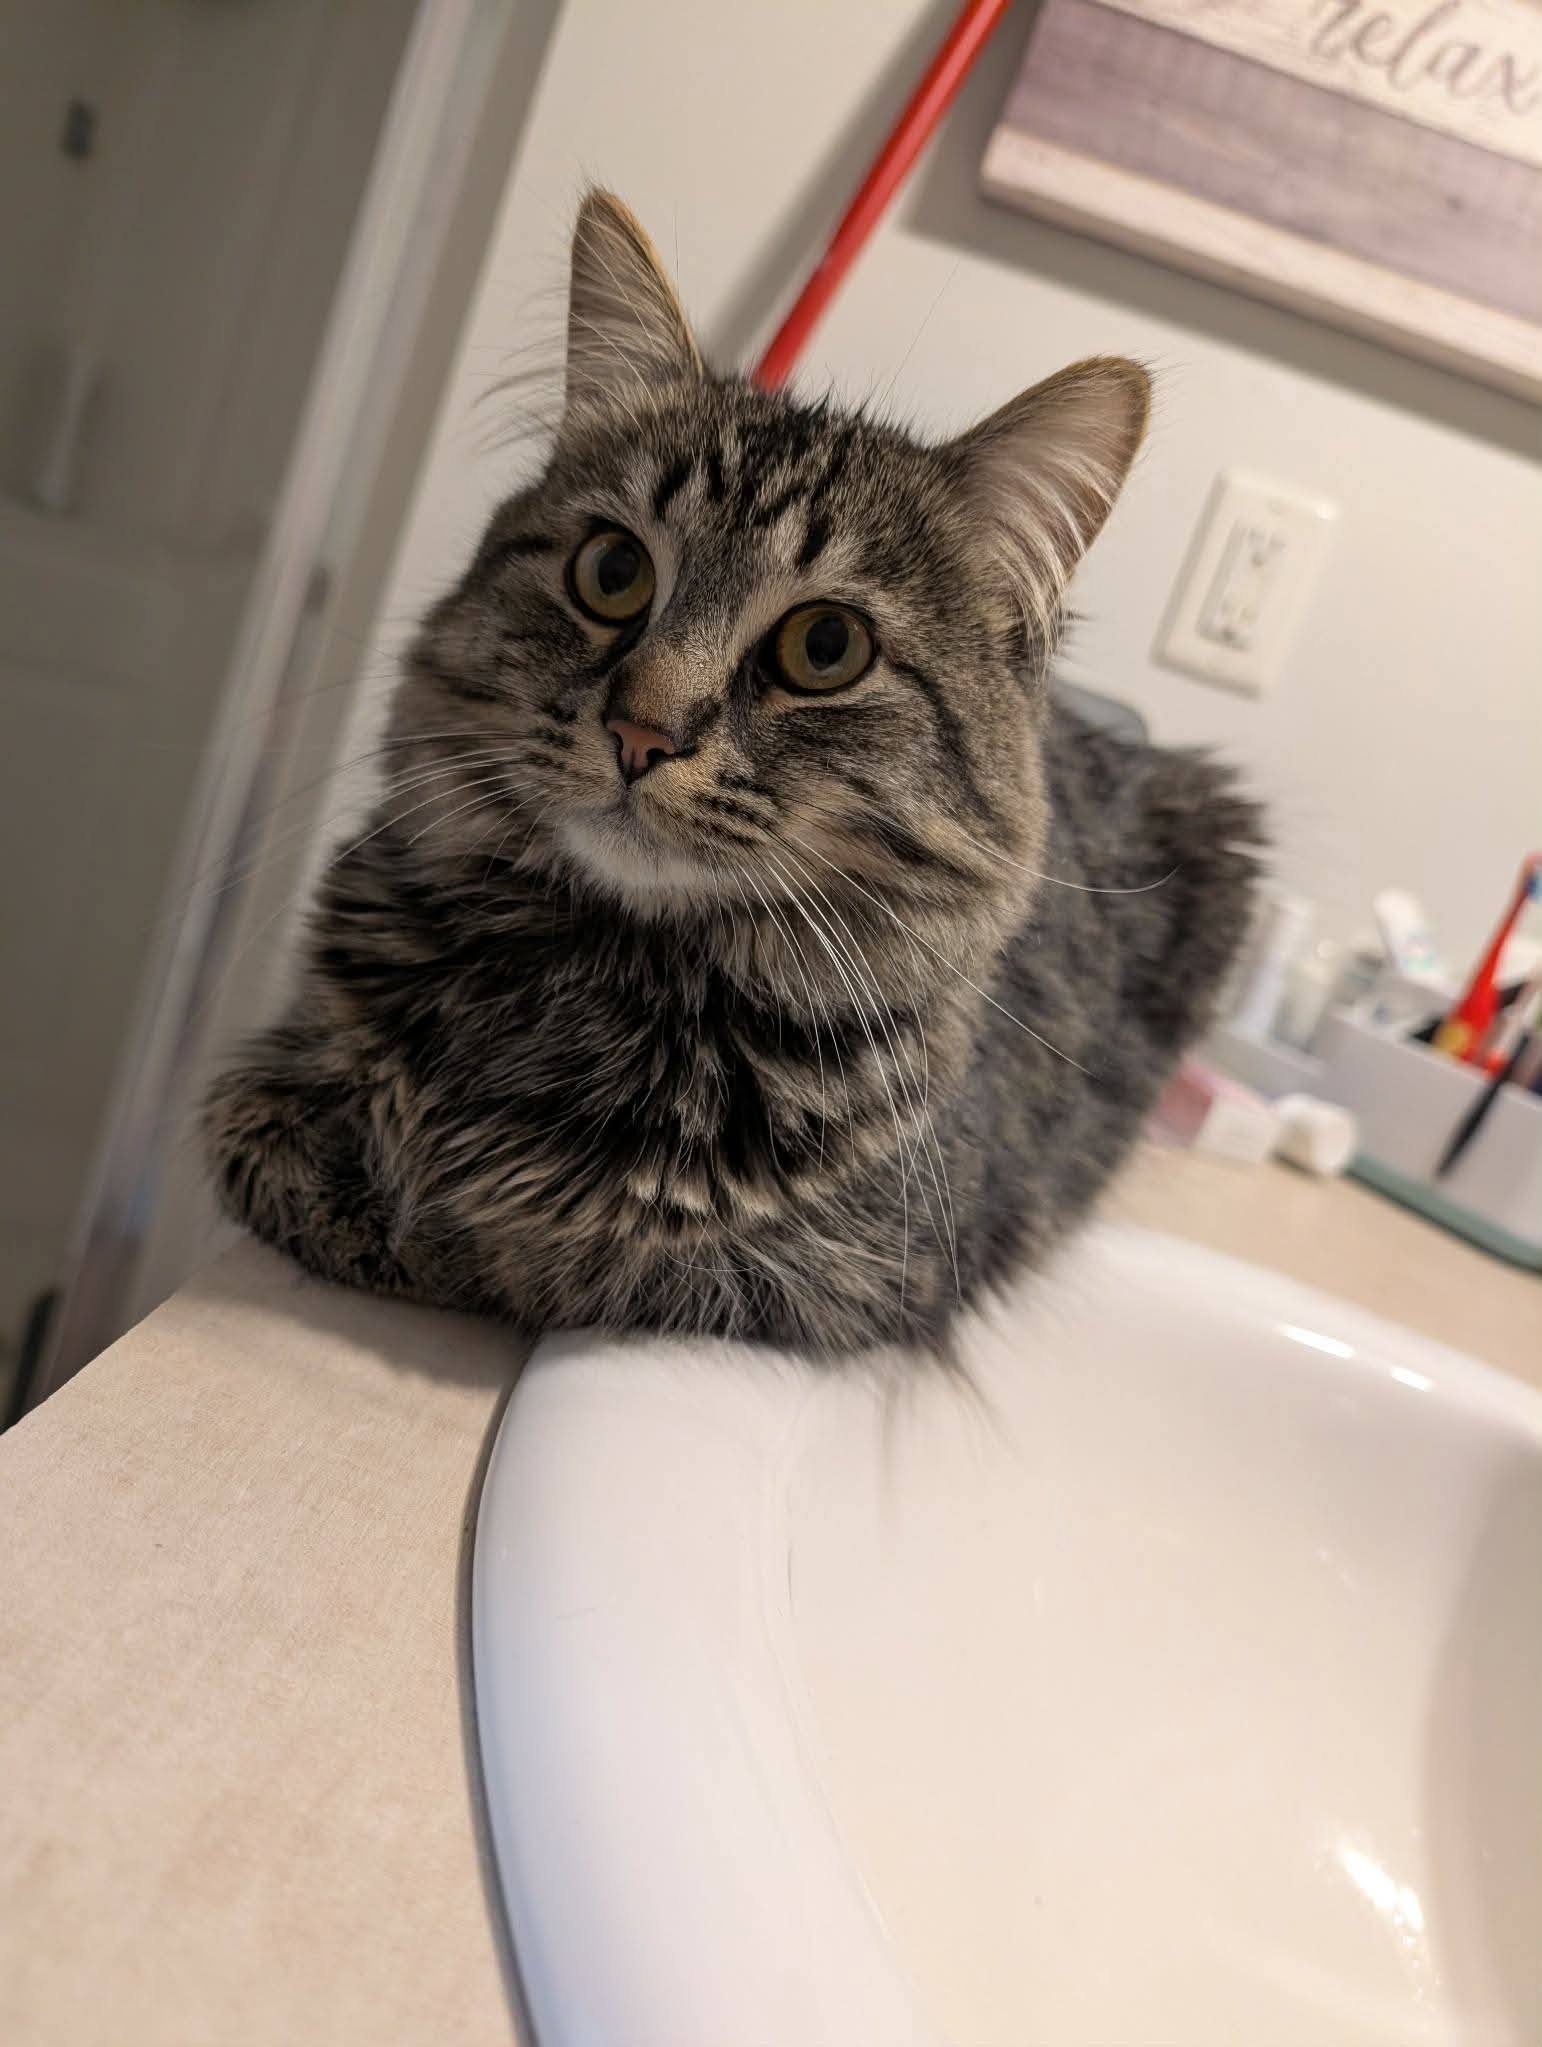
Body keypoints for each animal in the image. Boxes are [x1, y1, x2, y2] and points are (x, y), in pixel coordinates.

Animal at [206, 190, 1261, 1360]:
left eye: (826, 648)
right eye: (613, 572)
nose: (641, 731)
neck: (588, 976)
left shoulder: (846, 1274)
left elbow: (550, 1244)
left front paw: (436, 1217)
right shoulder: (283, 1069)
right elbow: (263, 1131)